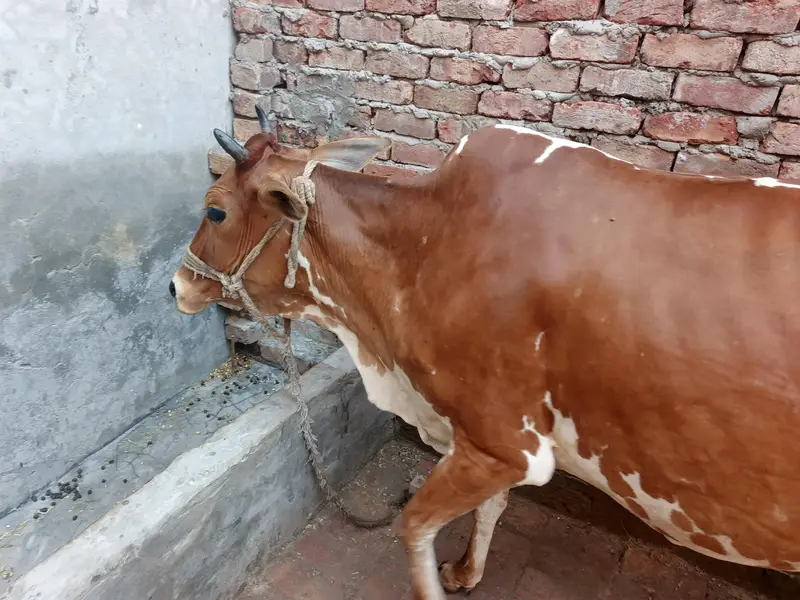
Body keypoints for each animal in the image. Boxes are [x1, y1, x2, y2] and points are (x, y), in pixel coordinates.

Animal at [171, 112, 800, 600]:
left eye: (216, 211)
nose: (176, 285)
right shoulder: (485, 443)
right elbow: (488, 509)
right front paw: (466, 572)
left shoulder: (505, 442)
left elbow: (415, 526)